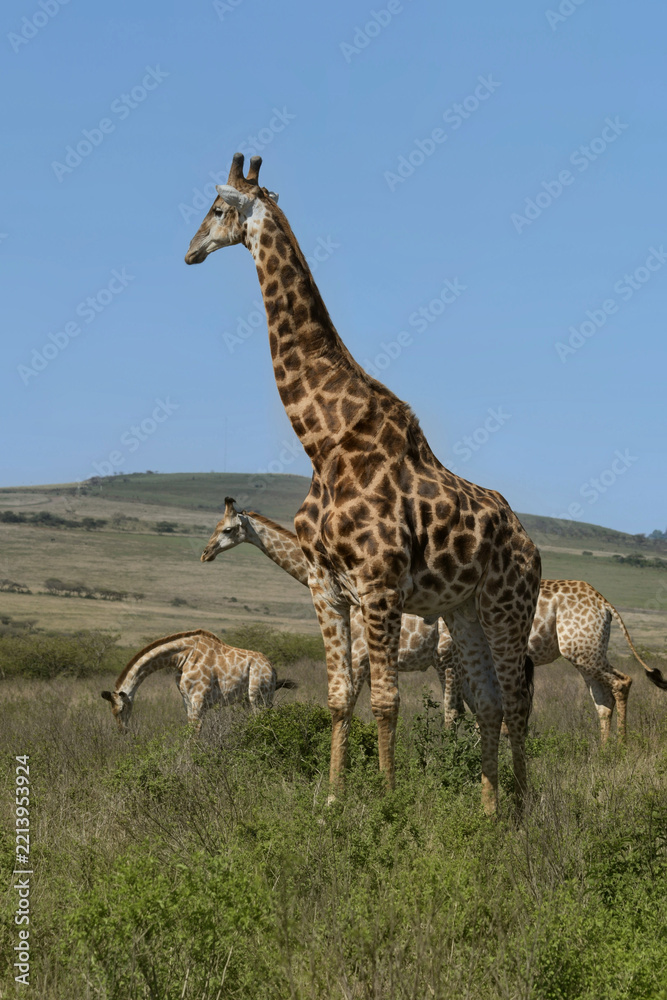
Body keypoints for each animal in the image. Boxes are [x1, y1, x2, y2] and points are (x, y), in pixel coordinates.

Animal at [101, 629, 295, 734]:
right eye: (112, 712)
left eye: (121, 709)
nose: (123, 731)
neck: (181, 657)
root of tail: (272, 668)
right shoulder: (186, 699)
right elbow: (189, 730)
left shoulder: (199, 698)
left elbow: (195, 731)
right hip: (247, 700)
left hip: (259, 696)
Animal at [185, 153, 542, 814]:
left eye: (217, 208)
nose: (191, 250)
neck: (324, 441)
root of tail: (533, 547)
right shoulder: (326, 585)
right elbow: (336, 698)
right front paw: (332, 800)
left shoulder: (378, 586)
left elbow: (384, 700)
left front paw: (389, 803)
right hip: (465, 611)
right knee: (489, 703)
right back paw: (488, 811)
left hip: (509, 607)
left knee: (517, 704)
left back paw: (524, 810)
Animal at [202, 502, 667, 741]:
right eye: (215, 527)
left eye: (227, 530)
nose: (205, 553)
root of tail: (607, 605)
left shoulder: (430, 658)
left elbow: (447, 713)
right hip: (583, 649)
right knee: (601, 698)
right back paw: (604, 751)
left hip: (581, 648)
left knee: (621, 683)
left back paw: (620, 747)